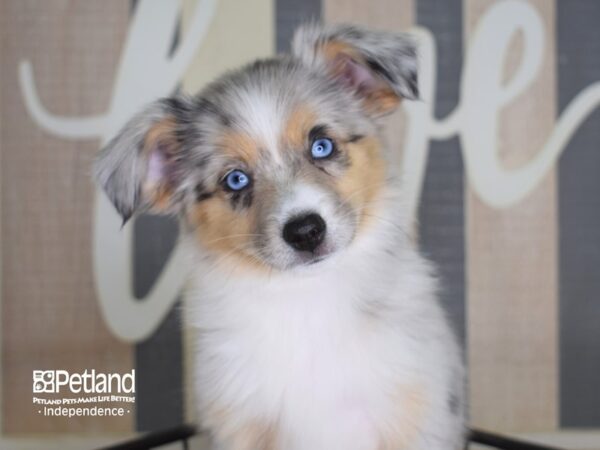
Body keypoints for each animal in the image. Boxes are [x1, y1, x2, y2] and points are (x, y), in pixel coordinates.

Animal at [96, 23, 466, 450]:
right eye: (235, 179)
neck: (306, 299)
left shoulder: (414, 410)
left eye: (321, 145)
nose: (305, 231)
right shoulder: (239, 421)